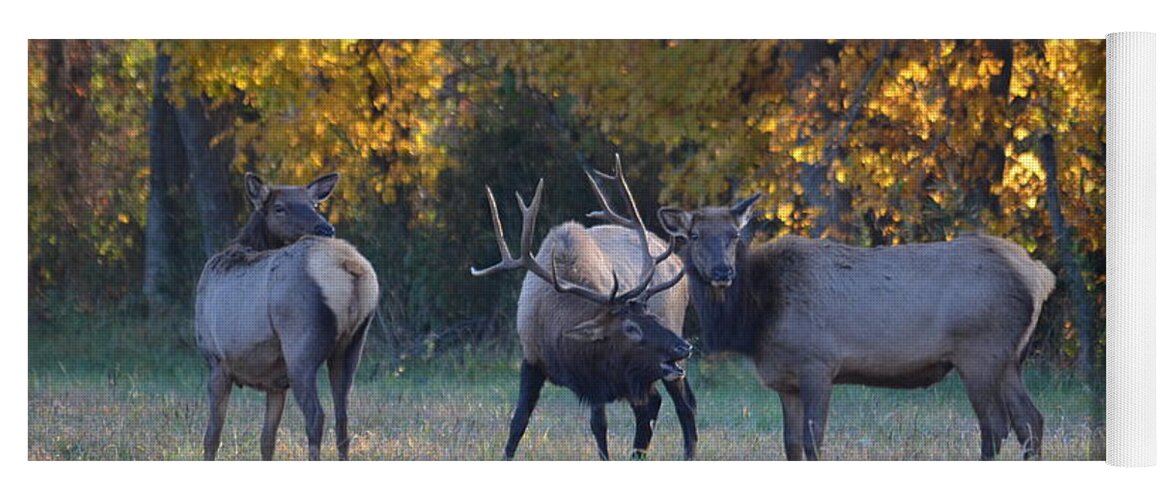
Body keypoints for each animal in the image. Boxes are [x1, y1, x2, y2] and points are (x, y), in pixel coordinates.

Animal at [192, 172, 374, 461]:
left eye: (314, 205)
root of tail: (348, 266)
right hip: (352, 345)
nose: (326, 228)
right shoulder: (276, 381)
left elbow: (212, 437)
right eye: (280, 208)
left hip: (301, 346)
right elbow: (267, 440)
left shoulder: (216, 359)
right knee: (343, 418)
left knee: (316, 416)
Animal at [473, 156, 697, 461]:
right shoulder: (531, 358)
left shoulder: (597, 376)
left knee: (682, 403)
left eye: (651, 315)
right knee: (652, 404)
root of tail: (675, 260)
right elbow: (518, 420)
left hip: (665, 357)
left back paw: (686, 453)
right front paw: (505, 456)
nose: (684, 347)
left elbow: (598, 426)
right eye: (631, 327)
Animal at [665, 195, 1058, 461]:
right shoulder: (786, 381)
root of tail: (1040, 277)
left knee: (995, 425)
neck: (755, 322)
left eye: (733, 235)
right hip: (1009, 360)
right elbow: (791, 445)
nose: (722, 271)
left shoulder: (818, 365)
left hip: (979, 352)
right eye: (695, 235)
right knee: (1031, 421)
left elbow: (813, 442)